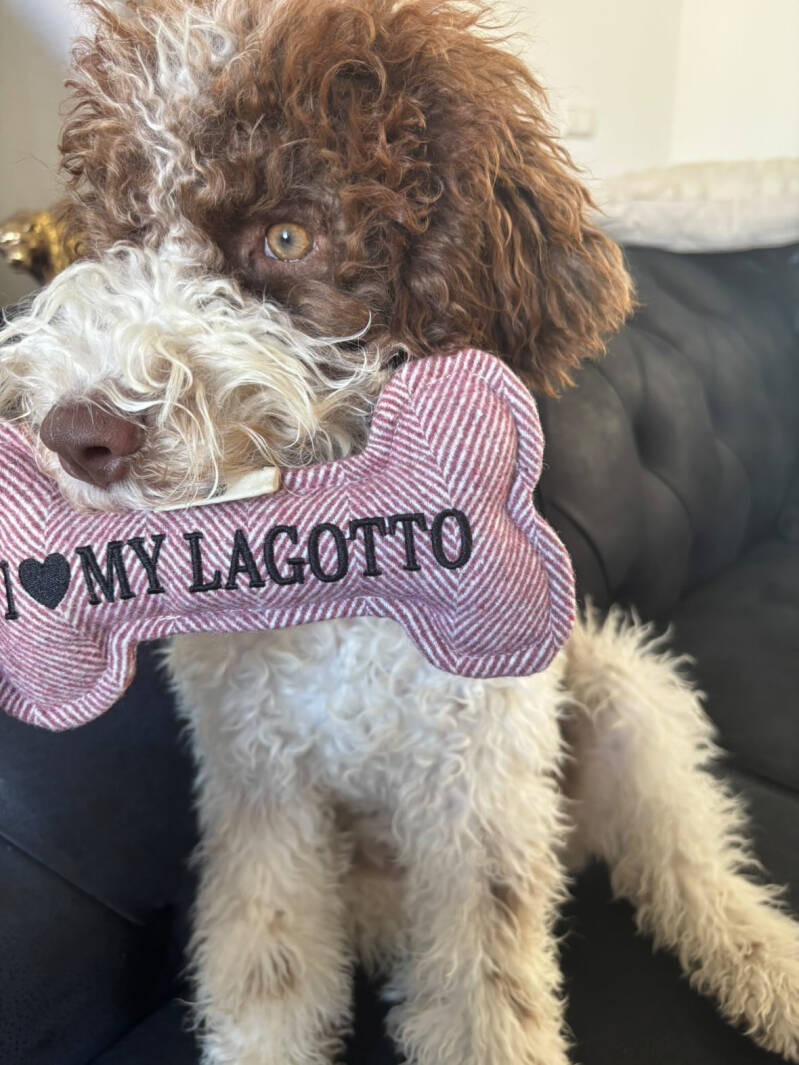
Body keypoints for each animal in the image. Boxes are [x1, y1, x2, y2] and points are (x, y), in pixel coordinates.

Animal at [1, 2, 798, 1063]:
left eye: (288, 235)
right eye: (123, 227)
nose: (75, 433)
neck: (339, 553)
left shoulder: (478, 787)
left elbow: (485, 995)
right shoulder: (260, 786)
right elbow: (266, 973)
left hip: (614, 695)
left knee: (685, 858)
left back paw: (766, 964)